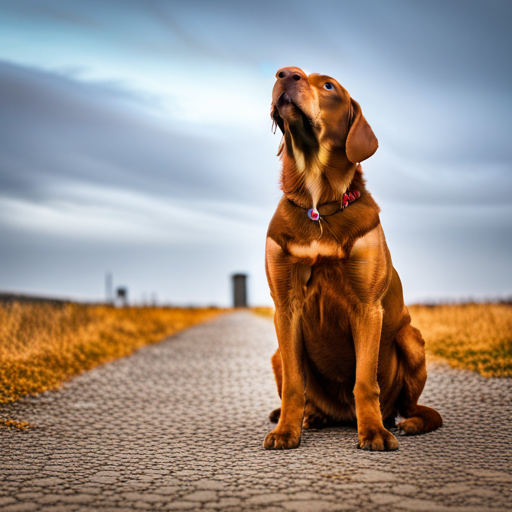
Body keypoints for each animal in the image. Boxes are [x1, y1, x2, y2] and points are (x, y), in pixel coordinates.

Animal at [262, 66, 442, 450]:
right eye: (288, 73)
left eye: (329, 86)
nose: (285, 74)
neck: (318, 204)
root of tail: (342, 414)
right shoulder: (285, 305)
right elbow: (294, 385)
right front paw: (286, 431)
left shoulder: (367, 307)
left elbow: (364, 381)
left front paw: (373, 431)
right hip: (276, 354)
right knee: (306, 394)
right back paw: (312, 417)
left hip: (412, 338)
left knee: (410, 407)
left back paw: (407, 422)